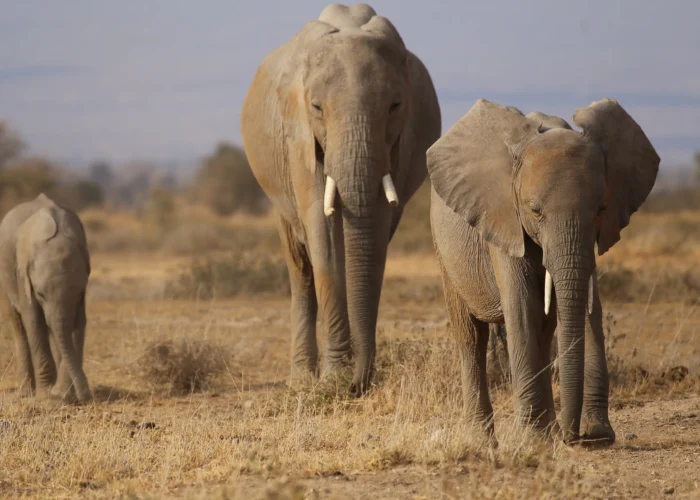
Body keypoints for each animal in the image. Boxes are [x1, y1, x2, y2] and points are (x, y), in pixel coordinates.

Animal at [0, 193, 92, 403]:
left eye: (79, 293)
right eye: (40, 294)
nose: (86, 396)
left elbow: (77, 324)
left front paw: (62, 394)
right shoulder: (22, 275)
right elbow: (33, 322)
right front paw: (46, 396)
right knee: (19, 325)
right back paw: (25, 392)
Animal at [240, 3, 441, 394]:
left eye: (395, 105)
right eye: (317, 107)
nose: (357, 385)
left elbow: (374, 238)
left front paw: (348, 377)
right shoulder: (299, 137)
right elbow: (323, 234)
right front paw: (334, 379)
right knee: (300, 267)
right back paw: (302, 379)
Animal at [427, 98, 659, 444]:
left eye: (601, 209)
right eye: (535, 211)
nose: (575, 437)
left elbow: (577, 305)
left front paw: (579, 436)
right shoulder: (504, 216)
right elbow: (522, 307)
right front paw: (532, 441)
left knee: (546, 327)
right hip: (444, 248)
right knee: (471, 336)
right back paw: (484, 442)